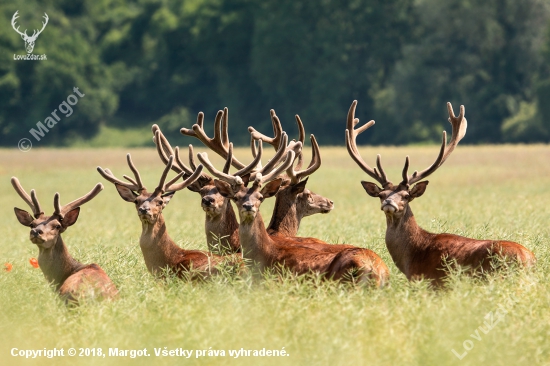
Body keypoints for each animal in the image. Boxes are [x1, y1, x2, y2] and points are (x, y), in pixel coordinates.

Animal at [348, 101, 536, 286]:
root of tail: (529, 259)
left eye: (406, 196)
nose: (388, 203)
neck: (414, 254)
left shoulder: (431, 283)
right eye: (382, 194)